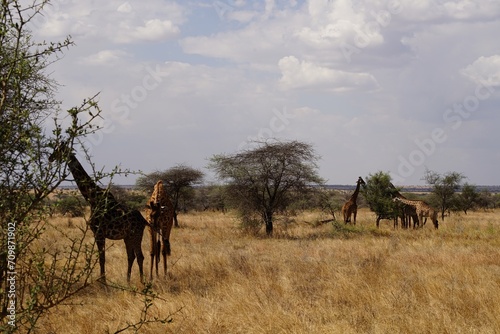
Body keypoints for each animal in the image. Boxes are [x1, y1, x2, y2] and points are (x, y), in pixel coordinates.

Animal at [48, 140, 146, 282]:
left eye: (60, 149)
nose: (50, 158)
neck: (92, 198)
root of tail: (144, 220)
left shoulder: (99, 232)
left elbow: (102, 258)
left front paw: (103, 282)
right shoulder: (98, 233)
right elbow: (101, 258)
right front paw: (102, 280)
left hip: (136, 234)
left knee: (140, 256)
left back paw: (143, 282)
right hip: (128, 236)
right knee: (131, 256)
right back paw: (127, 281)